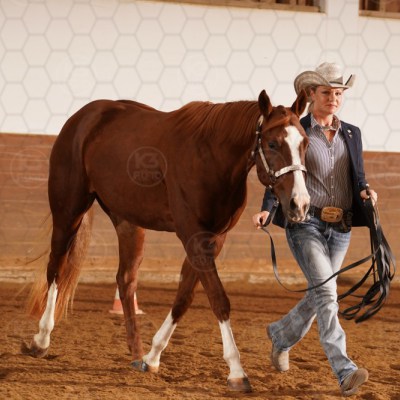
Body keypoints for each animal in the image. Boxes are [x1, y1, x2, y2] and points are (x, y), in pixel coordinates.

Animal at [25, 89, 310, 392]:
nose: (300, 204)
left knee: (125, 279)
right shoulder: (193, 235)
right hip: (68, 210)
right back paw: (41, 339)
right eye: (272, 143)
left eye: (304, 142)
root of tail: (82, 117)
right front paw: (236, 371)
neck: (211, 156)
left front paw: (152, 357)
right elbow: (218, 299)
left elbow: (184, 297)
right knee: (57, 267)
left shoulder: (213, 238)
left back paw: (136, 352)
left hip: (128, 221)